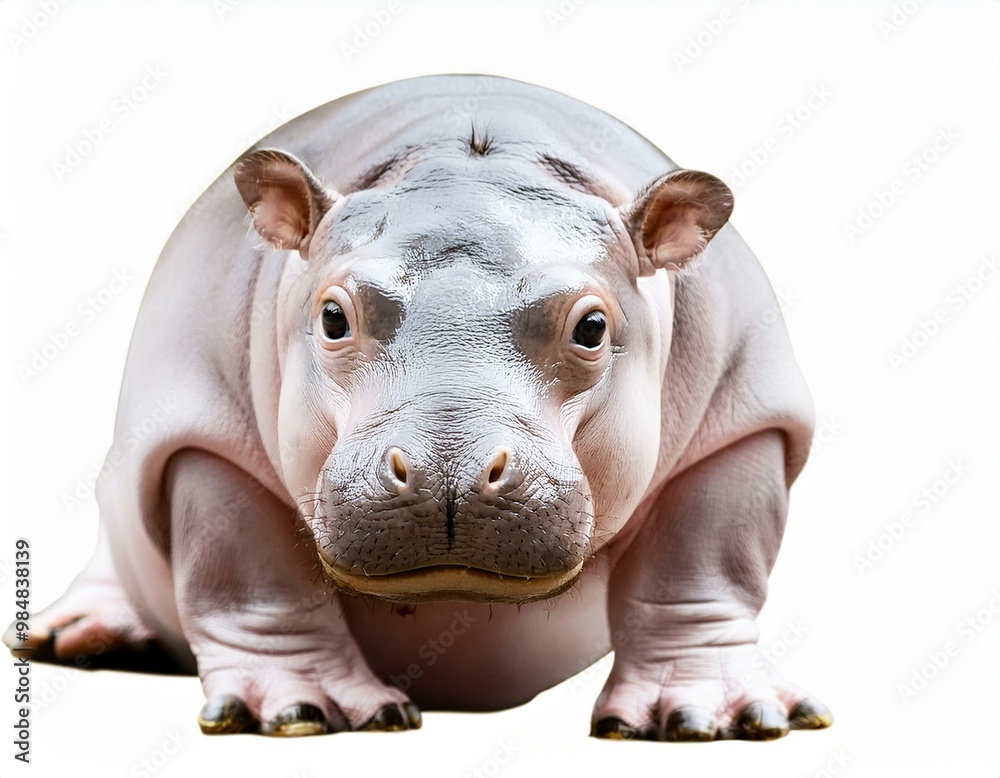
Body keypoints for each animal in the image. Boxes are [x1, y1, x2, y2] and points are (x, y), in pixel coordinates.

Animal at [5, 74, 831, 741]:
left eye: (593, 327)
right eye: (332, 315)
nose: (447, 469)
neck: (475, 160)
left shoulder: (744, 417)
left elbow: (704, 565)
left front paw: (713, 718)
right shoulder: (201, 431)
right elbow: (249, 571)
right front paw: (301, 712)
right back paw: (76, 635)